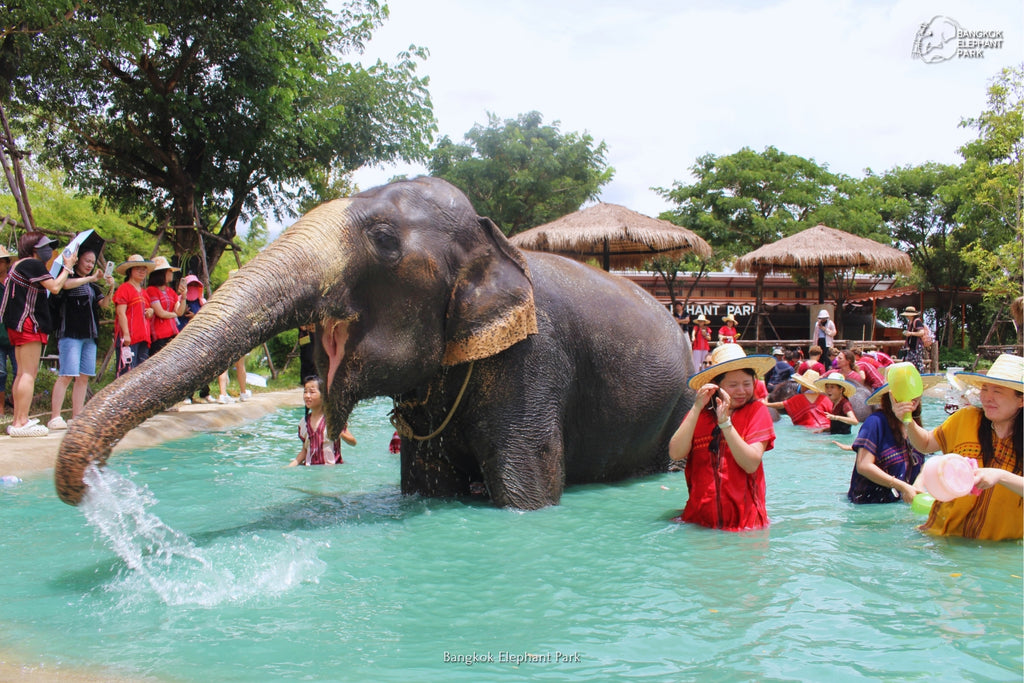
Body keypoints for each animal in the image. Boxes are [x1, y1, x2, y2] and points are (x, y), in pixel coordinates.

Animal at [55, 177, 695, 510]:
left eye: (385, 240)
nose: (88, 487)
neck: (496, 241)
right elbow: (428, 486)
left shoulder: (532, 365)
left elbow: (527, 494)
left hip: (684, 397)